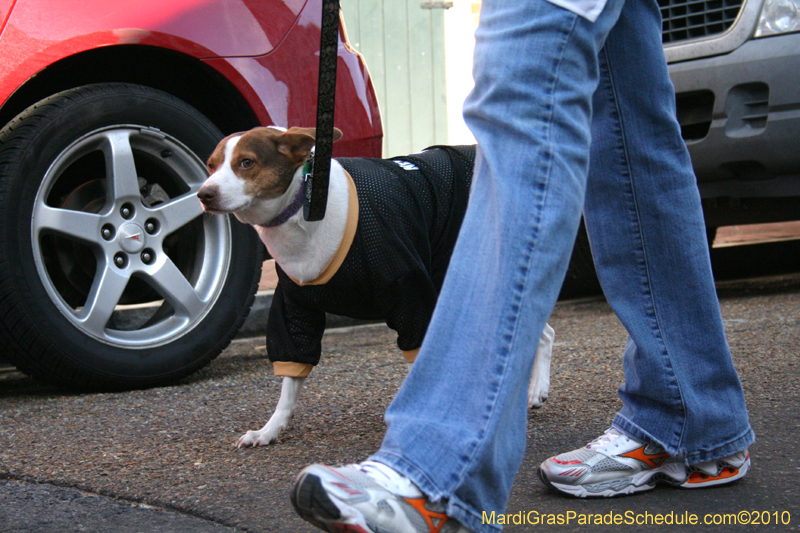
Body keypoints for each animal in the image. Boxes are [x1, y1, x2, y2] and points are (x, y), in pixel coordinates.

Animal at [197, 127, 552, 446]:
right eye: (211, 165)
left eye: (246, 162)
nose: (204, 194)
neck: (308, 206)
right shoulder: (296, 309)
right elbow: (290, 379)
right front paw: (269, 430)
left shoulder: (410, 296)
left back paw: (531, 390)